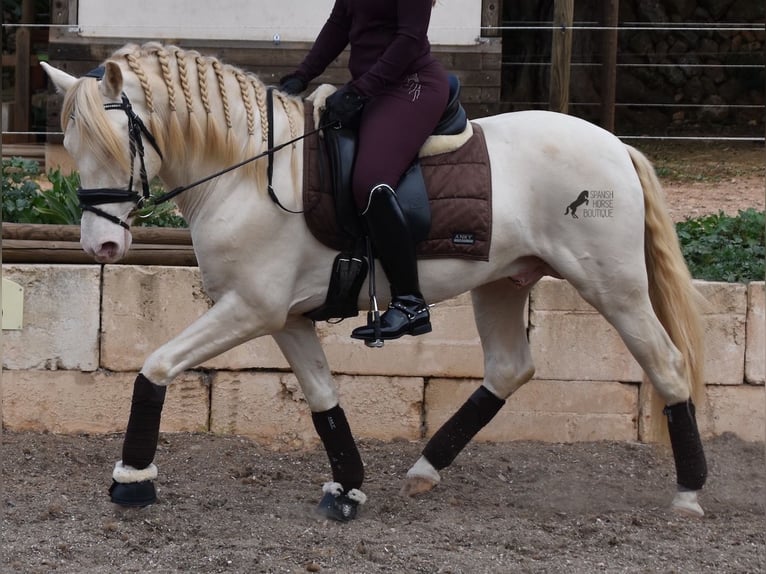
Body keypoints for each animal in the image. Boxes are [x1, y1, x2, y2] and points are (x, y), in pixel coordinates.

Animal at [45, 44, 712, 520]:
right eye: (73, 146)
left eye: (115, 145)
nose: (101, 246)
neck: (248, 174)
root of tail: (617, 147)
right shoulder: (286, 317)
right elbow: (323, 399)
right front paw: (347, 488)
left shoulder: (251, 308)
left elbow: (156, 366)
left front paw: (132, 480)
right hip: (501, 282)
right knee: (509, 369)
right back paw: (424, 470)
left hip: (613, 286)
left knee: (667, 363)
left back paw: (688, 494)